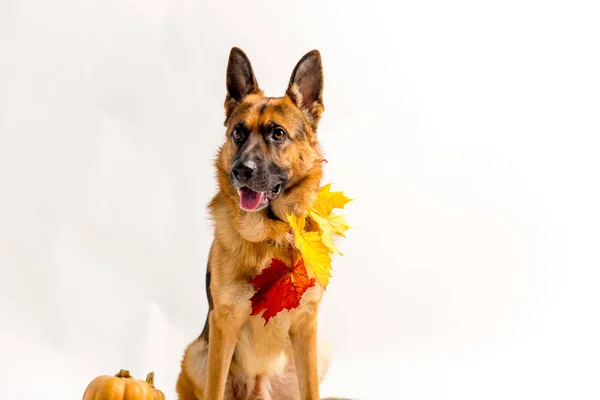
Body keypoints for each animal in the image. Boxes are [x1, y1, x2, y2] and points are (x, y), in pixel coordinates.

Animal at [177, 49, 338, 400]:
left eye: (278, 134)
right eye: (238, 133)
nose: (240, 170)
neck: (271, 236)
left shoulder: (307, 325)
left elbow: (311, 390)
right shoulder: (224, 322)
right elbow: (214, 389)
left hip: (320, 351)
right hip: (197, 353)